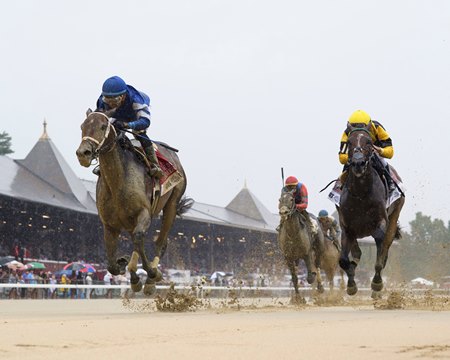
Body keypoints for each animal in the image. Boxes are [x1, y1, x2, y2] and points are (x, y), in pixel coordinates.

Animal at [75, 109, 192, 296]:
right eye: (82, 126)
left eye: (103, 126)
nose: (83, 153)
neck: (117, 182)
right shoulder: (109, 225)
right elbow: (111, 265)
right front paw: (123, 263)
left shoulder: (144, 213)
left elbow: (139, 239)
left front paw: (151, 273)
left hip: (172, 203)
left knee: (160, 241)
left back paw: (150, 280)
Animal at [338, 123, 404, 296]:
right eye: (350, 143)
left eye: (368, 142)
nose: (358, 163)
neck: (361, 194)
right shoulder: (346, 227)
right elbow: (343, 260)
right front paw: (351, 284)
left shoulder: (380, 225)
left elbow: (380, 259)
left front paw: (376, 284)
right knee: (357, 254)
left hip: (394, 215)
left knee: (385, 250)